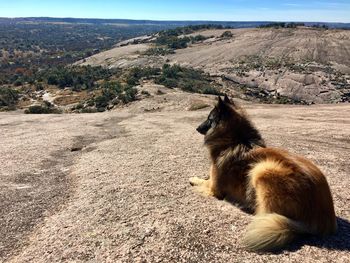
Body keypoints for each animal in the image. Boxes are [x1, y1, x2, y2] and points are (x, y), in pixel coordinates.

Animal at [190, 96, 338, 253]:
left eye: (209, 118)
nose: (197, 128)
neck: (235, 139)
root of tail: (324, 220)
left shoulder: (214, 188)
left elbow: (203, 182)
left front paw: (193, 179)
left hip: (262, 170)